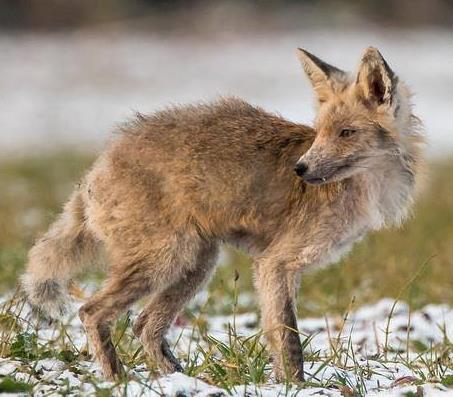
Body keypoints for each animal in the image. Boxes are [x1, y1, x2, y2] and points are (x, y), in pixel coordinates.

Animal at [22, 47, 424, 380]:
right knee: (91, 312)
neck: (365, 189)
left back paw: (177, 379)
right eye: (320, 133)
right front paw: (296, 386)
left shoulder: (275, 270)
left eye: (346, 133)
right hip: (164, 262)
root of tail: (101, 163)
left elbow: (278, 337)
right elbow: (289, 341)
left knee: (145, 325)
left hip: (194, 266)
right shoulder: (276, 263)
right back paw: (118, 380)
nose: (300, 169)